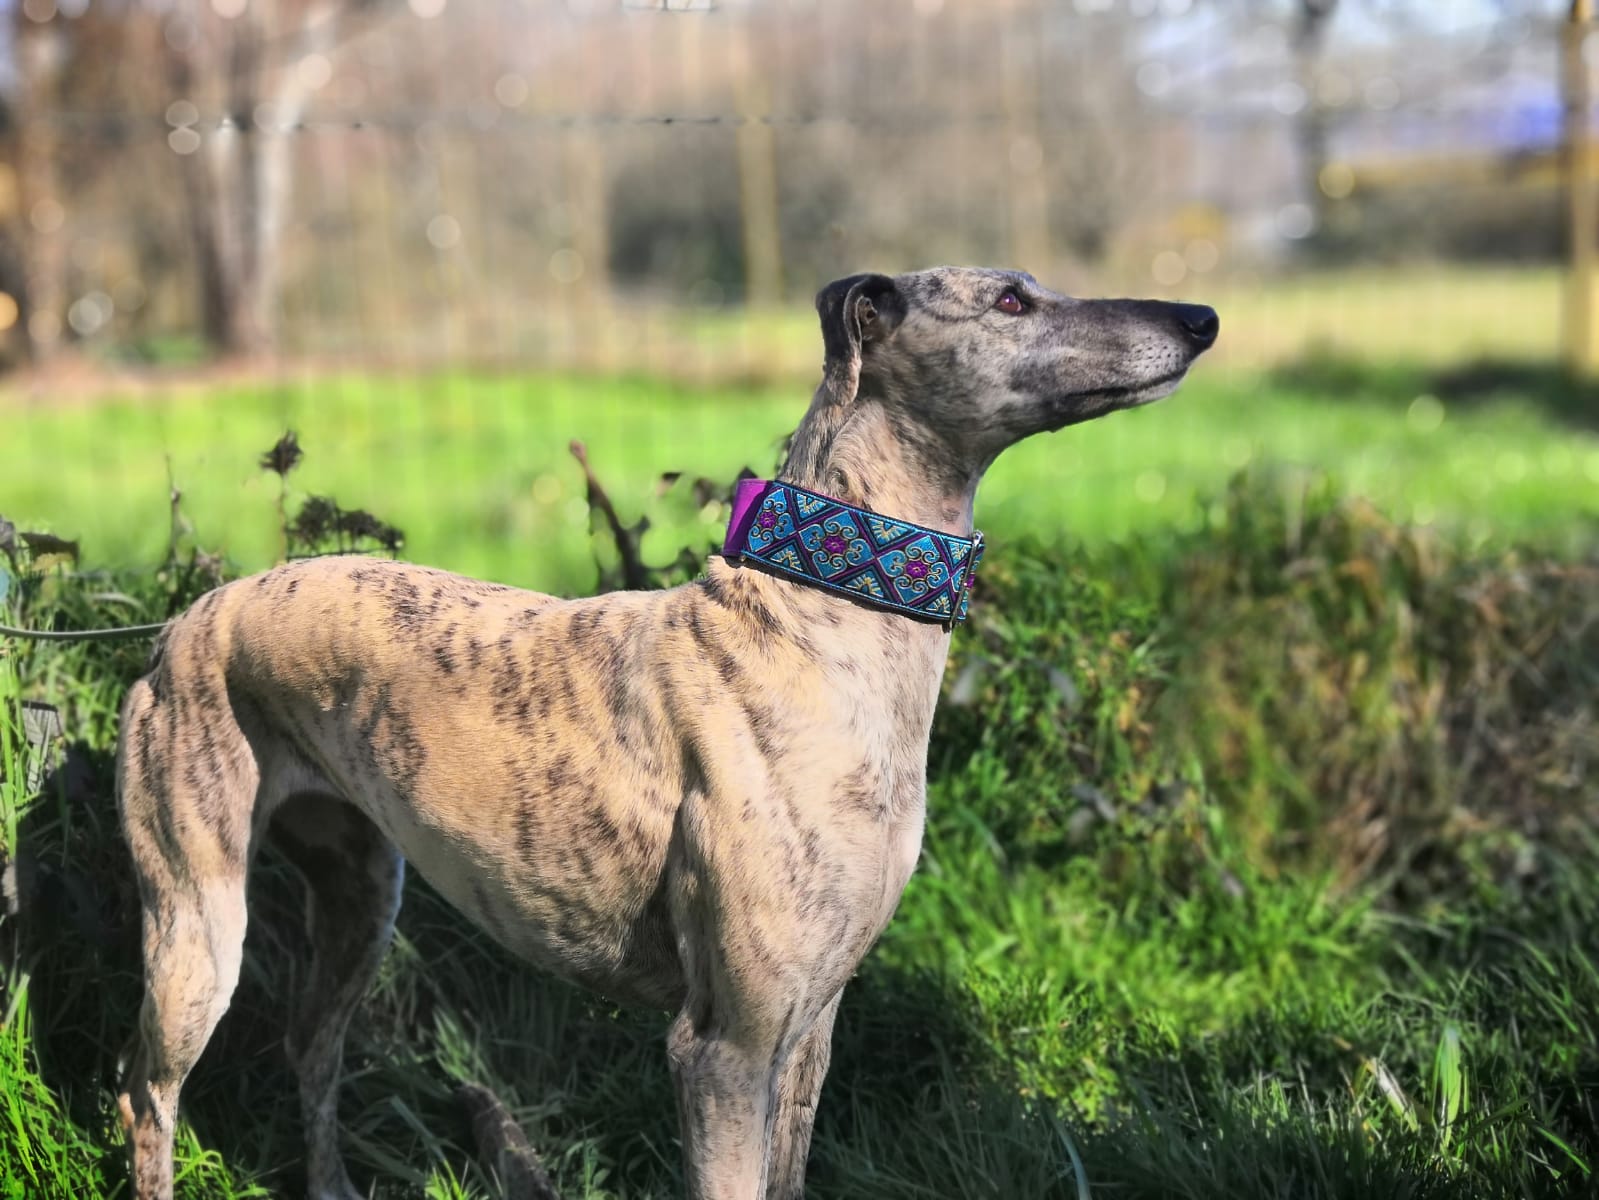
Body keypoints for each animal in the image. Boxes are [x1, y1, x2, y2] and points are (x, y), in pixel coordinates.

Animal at [114, 267, 1217, 1200]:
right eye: (1011, 300)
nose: (1199, 318)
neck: (819, 622)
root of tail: (185, 622)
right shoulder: (723, 1045)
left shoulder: (809, 1027)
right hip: (195, 926)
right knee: (145, 1091)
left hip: (358, 898)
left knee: (311, 1050)